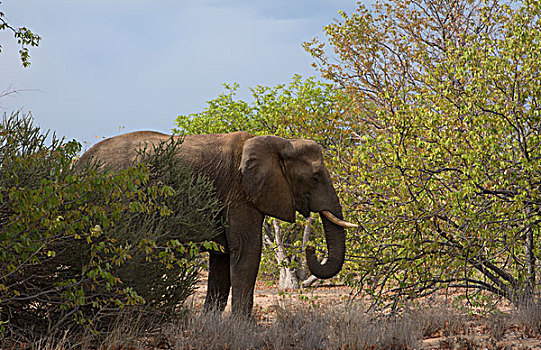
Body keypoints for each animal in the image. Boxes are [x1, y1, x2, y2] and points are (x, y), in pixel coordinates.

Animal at [75, 130, 354, 316]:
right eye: (315, 177)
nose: (311, 249)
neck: (278, 143)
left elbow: (223, 258)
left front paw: (211, 324)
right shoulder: (239, 193)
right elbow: (246, 251)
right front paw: (242, 329)